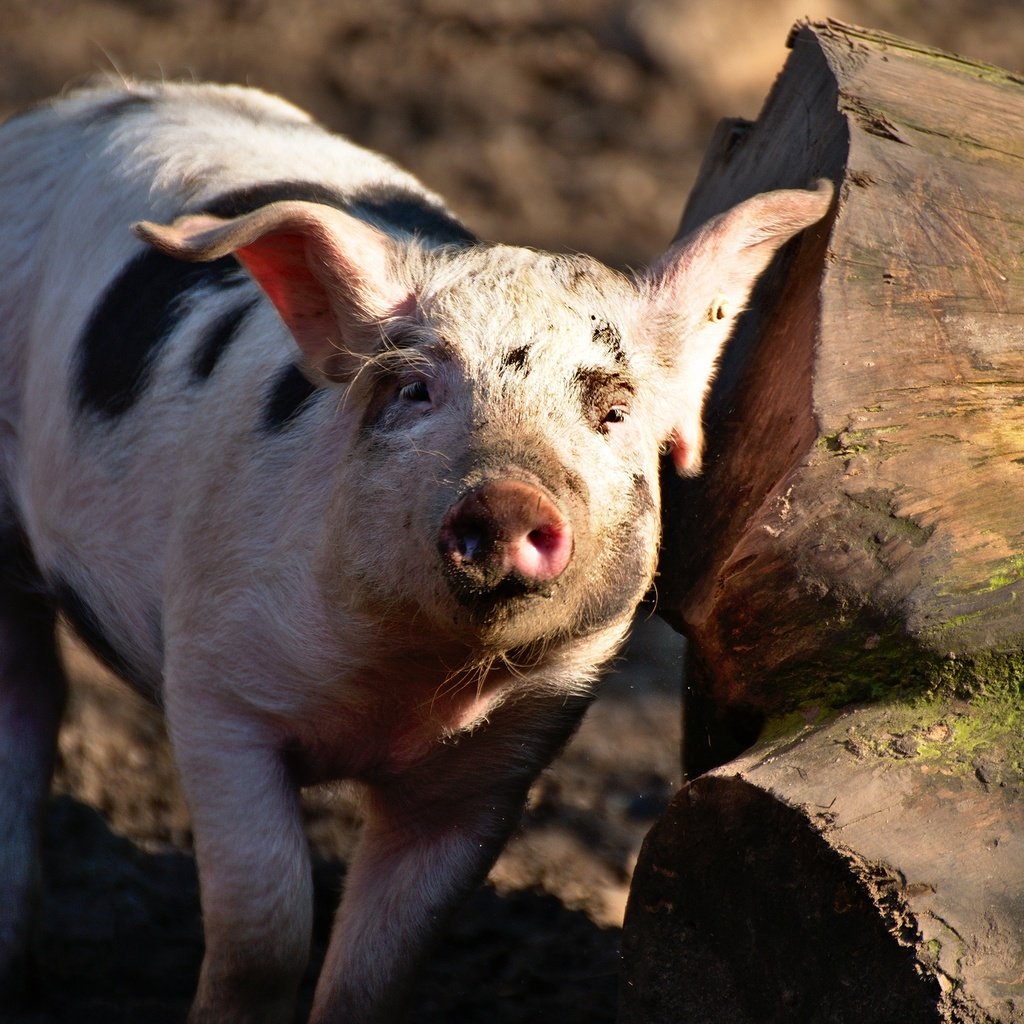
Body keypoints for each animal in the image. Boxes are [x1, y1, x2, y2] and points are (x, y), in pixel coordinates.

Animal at [0, 81, 831, 1024]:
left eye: (613, 411)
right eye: (414, 390)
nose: (507, 499)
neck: (406, 693)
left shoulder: (496, 770)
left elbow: (376, 972)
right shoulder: (215, 692)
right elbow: (264, 934)